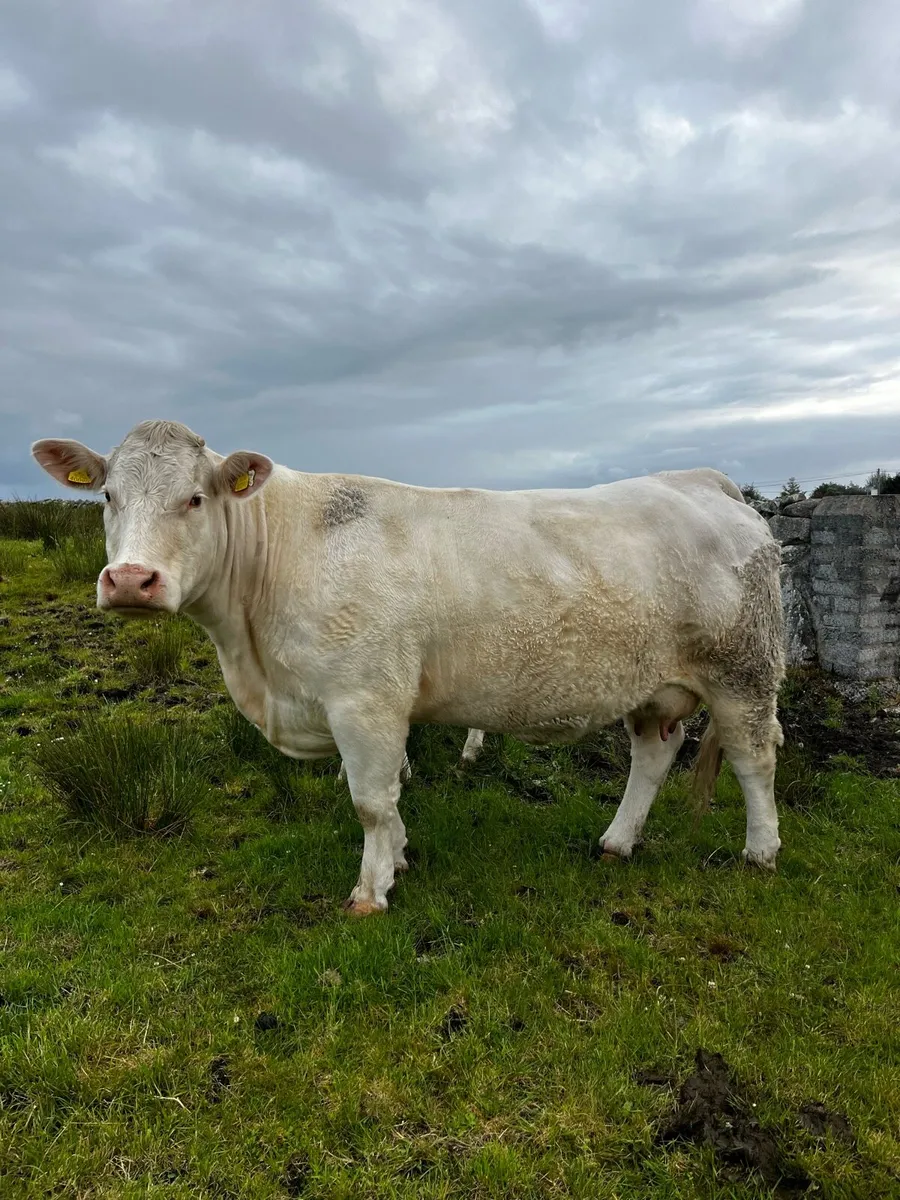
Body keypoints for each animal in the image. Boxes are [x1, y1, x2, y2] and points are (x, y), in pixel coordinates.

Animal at [32, 420, 785, 915]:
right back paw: (616, 842)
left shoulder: (364, 699)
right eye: (108, 497)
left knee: (754, 760)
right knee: (654, 754)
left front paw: (370, 892)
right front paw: (396, 858)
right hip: (656, 684)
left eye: (194, 498)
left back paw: (761, 852)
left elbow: (369, 800)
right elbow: (390, 795)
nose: (131, 581)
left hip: (742, 672)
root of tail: (704, 483)